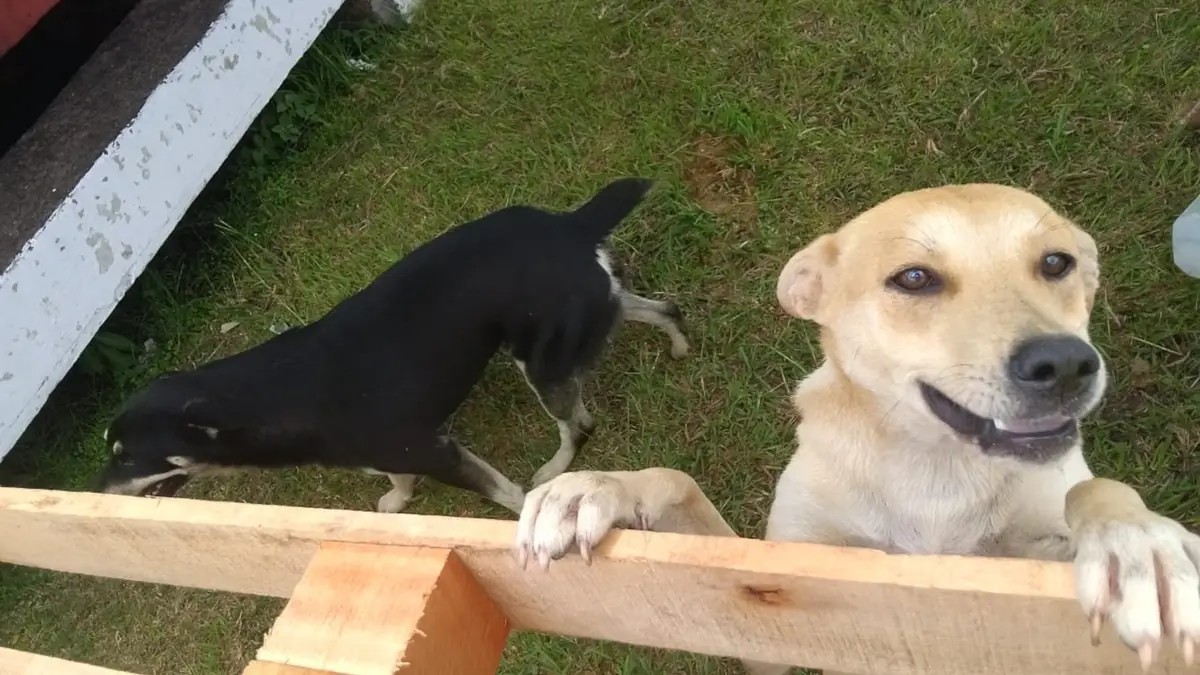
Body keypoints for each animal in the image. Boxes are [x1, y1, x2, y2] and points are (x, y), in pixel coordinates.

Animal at [94, 177, 690, 514]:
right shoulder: (394, 452)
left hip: (540, 361)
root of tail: (569, 224)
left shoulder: (435, 448)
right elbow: (396, 478)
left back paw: (553, 468)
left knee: (579, 426)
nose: (95, 495)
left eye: (126, 456)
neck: (270, 398)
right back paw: (680, 346)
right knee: (665, 308)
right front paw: (398, 502)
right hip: (586, 314)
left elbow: (504, 493)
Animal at [514, 184, 1200, 672]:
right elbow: (677, 480)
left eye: (1056, 262)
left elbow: (1096, 490)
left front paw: (1139, 546)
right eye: (914, 277)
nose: (1065, 365)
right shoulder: (766, 602)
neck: (934, 468)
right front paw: (593, 489)